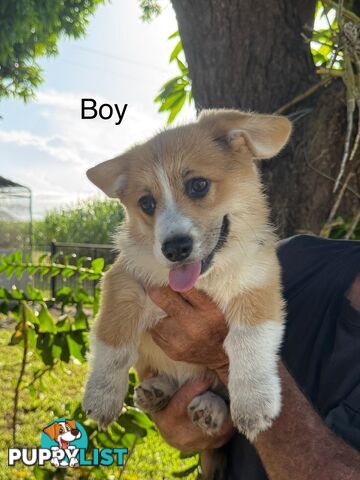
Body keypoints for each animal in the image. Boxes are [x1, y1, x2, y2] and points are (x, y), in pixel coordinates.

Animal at [83, 111, 292, 476]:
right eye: (147, 203)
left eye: (198, 185)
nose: (174, 249)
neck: (205, 280)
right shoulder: (123, 283)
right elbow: (114, 343)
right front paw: (102, 395)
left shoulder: (259, 291)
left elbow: (248, 342)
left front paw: (254, 401)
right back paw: (157, 390)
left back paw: (212, 408)